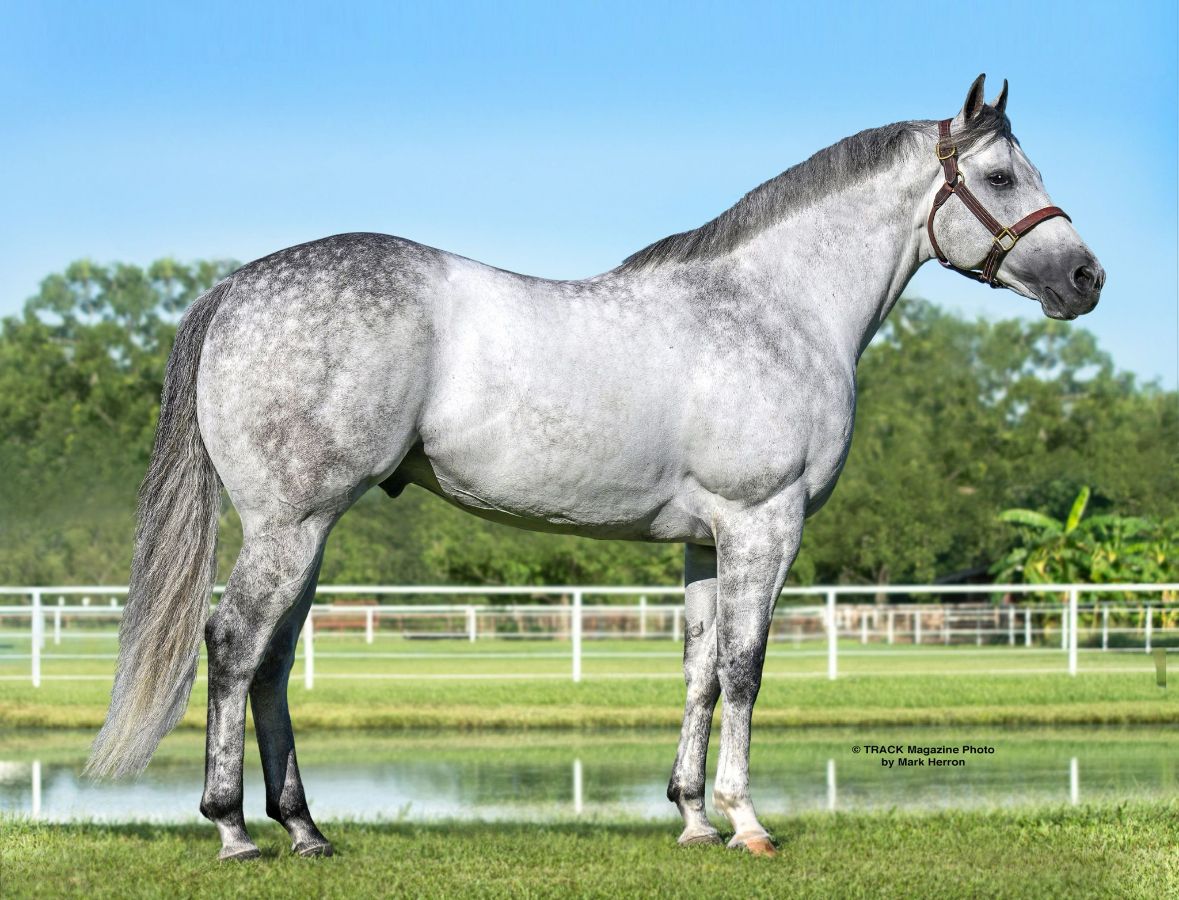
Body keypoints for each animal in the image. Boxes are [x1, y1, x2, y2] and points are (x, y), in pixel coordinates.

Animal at [86, 74, 1103, 860]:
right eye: (1000, 175)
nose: (1085, 279)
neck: (775, 307)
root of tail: (236, 286)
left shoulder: (706, 542)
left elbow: (697, 670)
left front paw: (692, 819)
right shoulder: (763, 523)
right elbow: (744, 669)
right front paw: (746, 823)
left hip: (305, 532)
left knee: (272, 660)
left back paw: (305, 831)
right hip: (291, 524)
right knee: (233, 646)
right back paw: (233, 831)